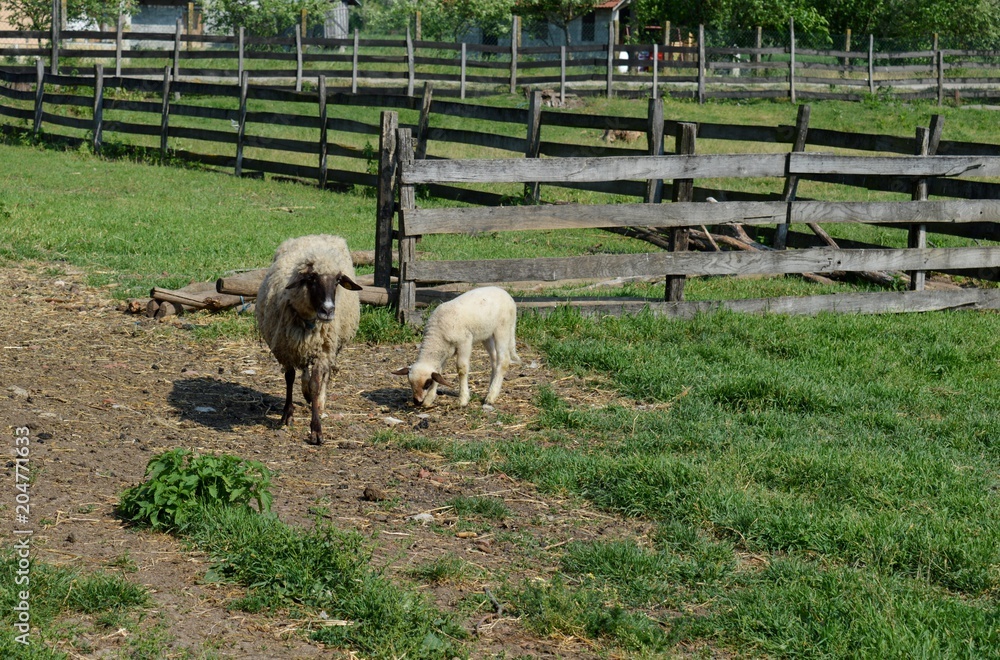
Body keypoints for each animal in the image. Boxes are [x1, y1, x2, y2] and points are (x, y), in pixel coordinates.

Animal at [255, 234, 362, 445]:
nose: (328, 310)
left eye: (338, 280)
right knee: (304, 369)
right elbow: (289, 378)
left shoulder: (323, 350)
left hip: (331, 346)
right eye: (312, 278)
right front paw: (287, 415)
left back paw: (319, 401)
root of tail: (319, 235)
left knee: (324, 375)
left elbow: (316, 383)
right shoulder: (286, 348)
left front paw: (316, 430)